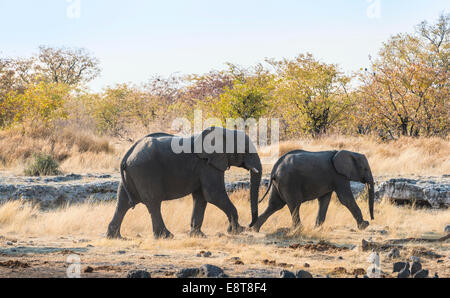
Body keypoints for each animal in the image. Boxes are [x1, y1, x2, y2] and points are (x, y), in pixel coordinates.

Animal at [107, 127, 262, 239]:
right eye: (245, 150)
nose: (250, 225)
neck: (225, 131)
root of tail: (128, 153)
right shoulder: (207, 166)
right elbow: (213, 195)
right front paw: (237, 231)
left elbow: (201, 197)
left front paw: (198, 235)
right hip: (145, 172)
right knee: (153, 202)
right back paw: (166, 236)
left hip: (132, 175)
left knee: (123, 202)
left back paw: (115, 237)